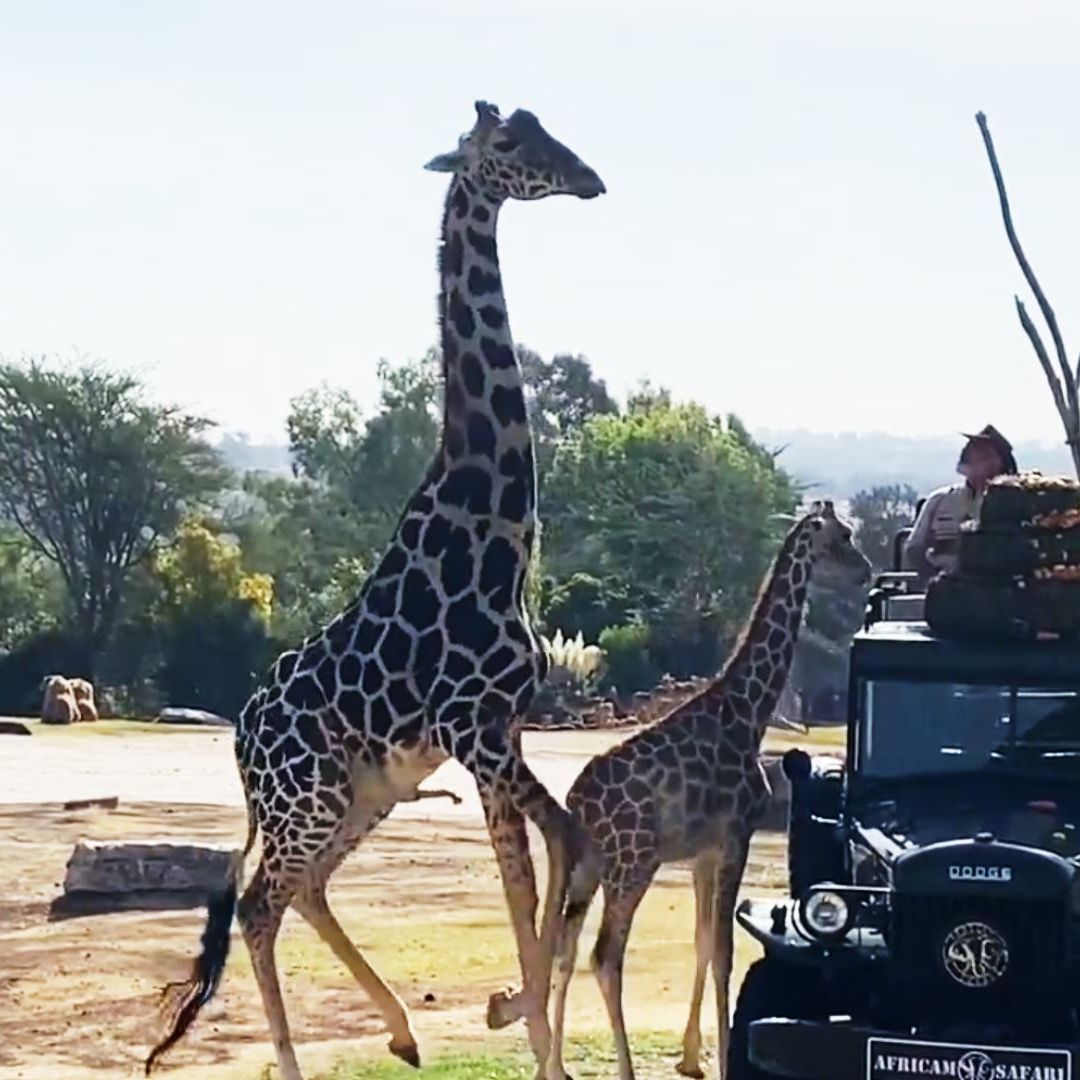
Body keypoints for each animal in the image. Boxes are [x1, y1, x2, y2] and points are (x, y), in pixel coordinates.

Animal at [146, 101, 605, 1080]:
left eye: (547, 125)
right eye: (510, 144)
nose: (590, 179)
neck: (496, 535)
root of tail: (239, 737)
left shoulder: (500, 729)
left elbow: (547, 853)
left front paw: (523, 1020)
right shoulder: (477, 731)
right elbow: (540, 858)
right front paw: (522, 1017)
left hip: (365, 793)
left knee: (305, 889)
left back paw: (402, 1029)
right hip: (309, 798)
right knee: (261, 904)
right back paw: (301, 1059)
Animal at [546, 502, 871, 1080]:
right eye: (842, 537)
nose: (866, 570)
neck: (749, 712)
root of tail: (579, 802)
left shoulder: (703, 851)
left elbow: (701, 943)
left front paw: (692, 1055)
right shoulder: (736, 836)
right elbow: (723, 952)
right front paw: (719, 1060)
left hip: (589, 865)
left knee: (567, 945)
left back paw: (555, 1066)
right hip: (633, 863)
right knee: (605, 956)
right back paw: (622, 1070)